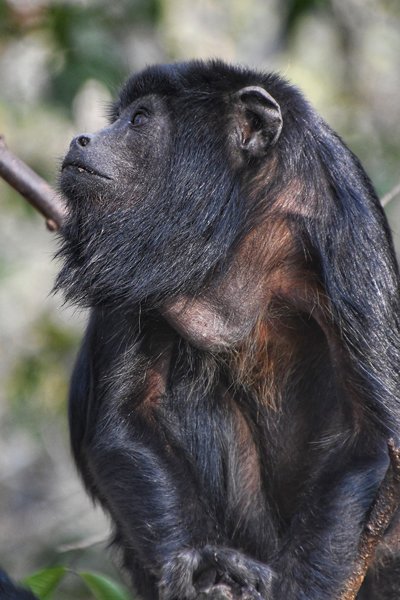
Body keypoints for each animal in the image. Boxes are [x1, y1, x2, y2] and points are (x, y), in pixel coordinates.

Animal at [7, 61, 400, 600]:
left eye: (140, 119)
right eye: (121, 117)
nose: (82, 139)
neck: (250, 224)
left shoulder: (346, 225)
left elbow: (373, 437)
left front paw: (300, 586)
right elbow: (123, 421)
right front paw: (201, 561)